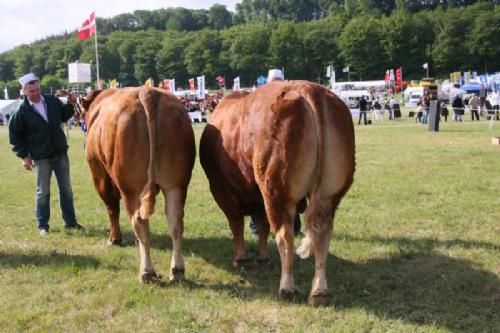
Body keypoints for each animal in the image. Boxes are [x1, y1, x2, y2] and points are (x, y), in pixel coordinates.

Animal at [80, 85, 195, 280]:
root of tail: (147, 92)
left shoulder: (100, 176)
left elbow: (112, 208)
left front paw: (114, 238)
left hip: (131, 188)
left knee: (139, 220)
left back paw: (146, 272)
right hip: (176, 184)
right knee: (175, 221)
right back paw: (177, 270)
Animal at [199, 80, 356, 304]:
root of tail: (307, 88)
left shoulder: (219, 187)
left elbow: (237, 224)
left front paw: (241, 257)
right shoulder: (258, 197)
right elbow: (262, 226)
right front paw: (262, 257)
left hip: (277, 191)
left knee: (285, 236)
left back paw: (287, 288)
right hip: (329, 194)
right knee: (322, 234)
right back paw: (319, 291)